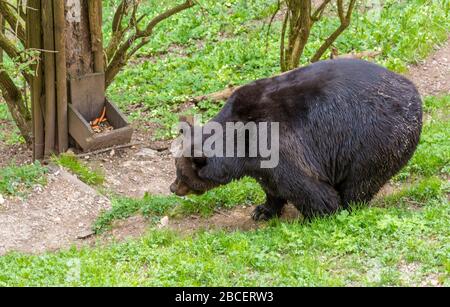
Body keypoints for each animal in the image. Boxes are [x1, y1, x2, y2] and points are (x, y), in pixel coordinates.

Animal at [170, 58, 422, 221]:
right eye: (177, 168)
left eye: (183, 173)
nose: (173, 188)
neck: (240, 145)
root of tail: (413, 91)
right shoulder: (259, 163)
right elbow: (271, 187)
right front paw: (262, 210)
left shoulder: (278, 144)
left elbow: (304, 186)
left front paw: (318, 214)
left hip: (374, 138)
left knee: (360, 182)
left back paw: (349, 205)